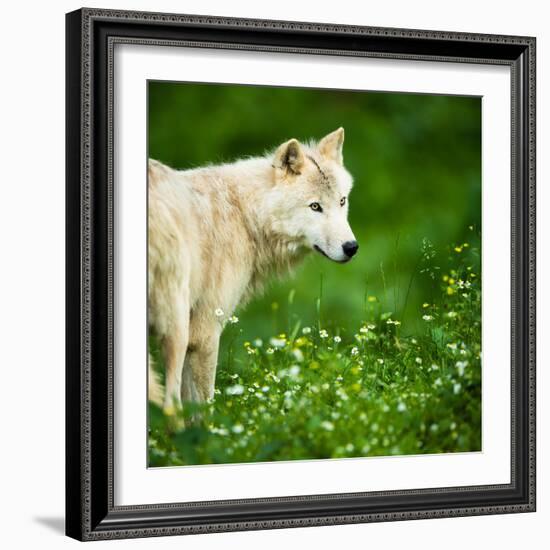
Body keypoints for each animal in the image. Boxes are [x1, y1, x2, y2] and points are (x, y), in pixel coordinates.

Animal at [149, 128, 360, 414]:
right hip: (177, 331)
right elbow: (203, 407)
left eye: (342, 201)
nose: (352, 247)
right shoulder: (205, 333)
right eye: (315, 206)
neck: (246, 216)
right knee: (171, 404)